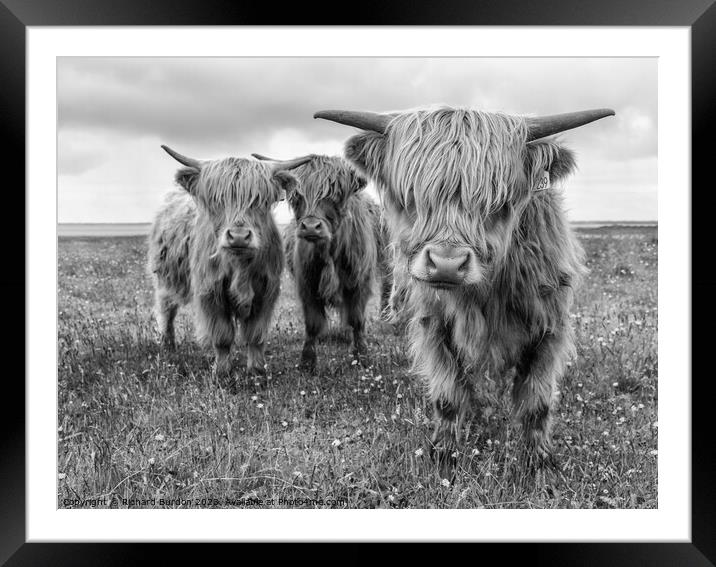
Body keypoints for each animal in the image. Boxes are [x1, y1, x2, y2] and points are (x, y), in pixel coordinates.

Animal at [150, 146, 310, 386]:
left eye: (260, 200)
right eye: (217, 200)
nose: (239, 237)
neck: (239, 266)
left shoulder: (266, 291)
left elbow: (255, 335)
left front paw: (257, 372)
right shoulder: (211, 291)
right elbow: (222, 336)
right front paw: (222, 373)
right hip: (166, 275)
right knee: (166, 307)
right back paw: (168, 346)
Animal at [249, 153, 388, 370]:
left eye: (336, 194)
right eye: (297, 197)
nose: (311, 227)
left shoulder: (359, 283)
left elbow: (357, 319)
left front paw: (362, 357)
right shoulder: (307, 284)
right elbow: (313, 323)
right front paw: (307, 362)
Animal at [314, 106, 616, 470]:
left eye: (499, 201)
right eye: (411, 197)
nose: (446, 264)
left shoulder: (550, 326)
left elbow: (536, 401)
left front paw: (538, 461)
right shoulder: (434, 325)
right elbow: (448, 396)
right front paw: (444, 453)